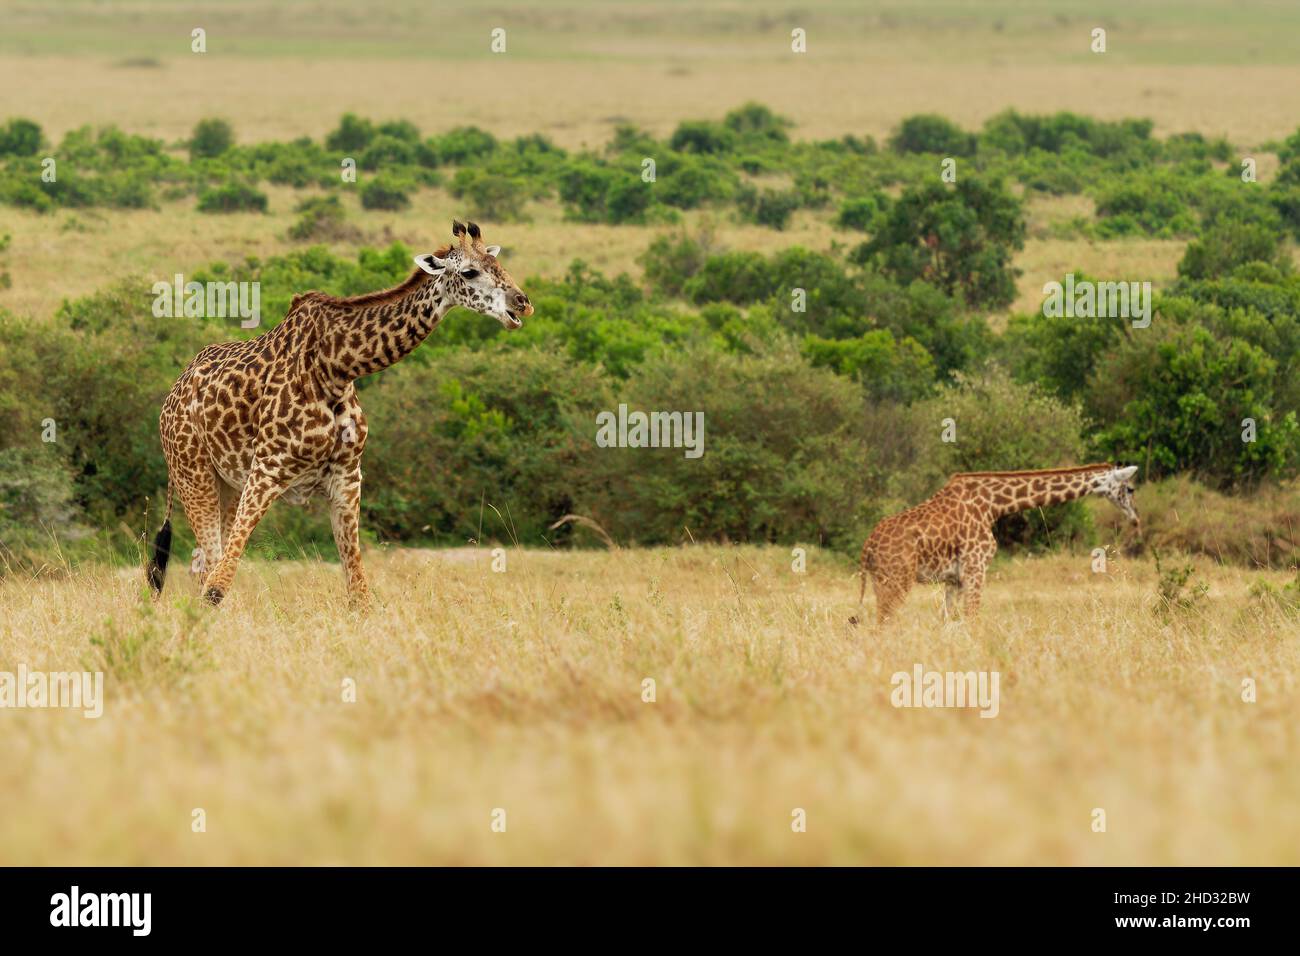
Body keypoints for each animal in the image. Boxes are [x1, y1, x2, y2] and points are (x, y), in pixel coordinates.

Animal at [149, 218, 535, 606]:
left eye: (498, 263)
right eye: (470, 272)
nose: (523, 303)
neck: (336, 368)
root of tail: (173, 394)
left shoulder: (348, 476)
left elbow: (358, 588)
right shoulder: (267, 469)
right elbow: (219, 583)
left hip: (227, 482)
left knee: (201, 561)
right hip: (193, 472)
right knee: (209, 563)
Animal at [852, 465, 1138, 629]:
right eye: (1130, 488)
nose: (1136, 518)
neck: (994, 505)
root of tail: (867, 548)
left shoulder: (954, 578)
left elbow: (948, 621)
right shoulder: (976, 567)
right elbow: (972, 620)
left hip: (882, 581)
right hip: (896, 579)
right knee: (882, 624)